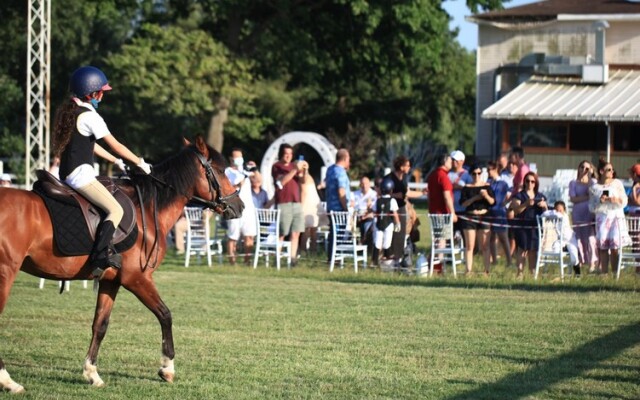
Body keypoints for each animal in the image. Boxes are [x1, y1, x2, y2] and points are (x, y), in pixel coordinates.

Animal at [0, 136, 242, 392]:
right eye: (220, 171)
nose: (240, 206)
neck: (148, 209)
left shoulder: (111, 282)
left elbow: (100, 325)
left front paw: (92, 373)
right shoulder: (137, 279)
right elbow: (165, 315)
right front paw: (167, 368)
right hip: (6, 273)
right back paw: (8, 381)